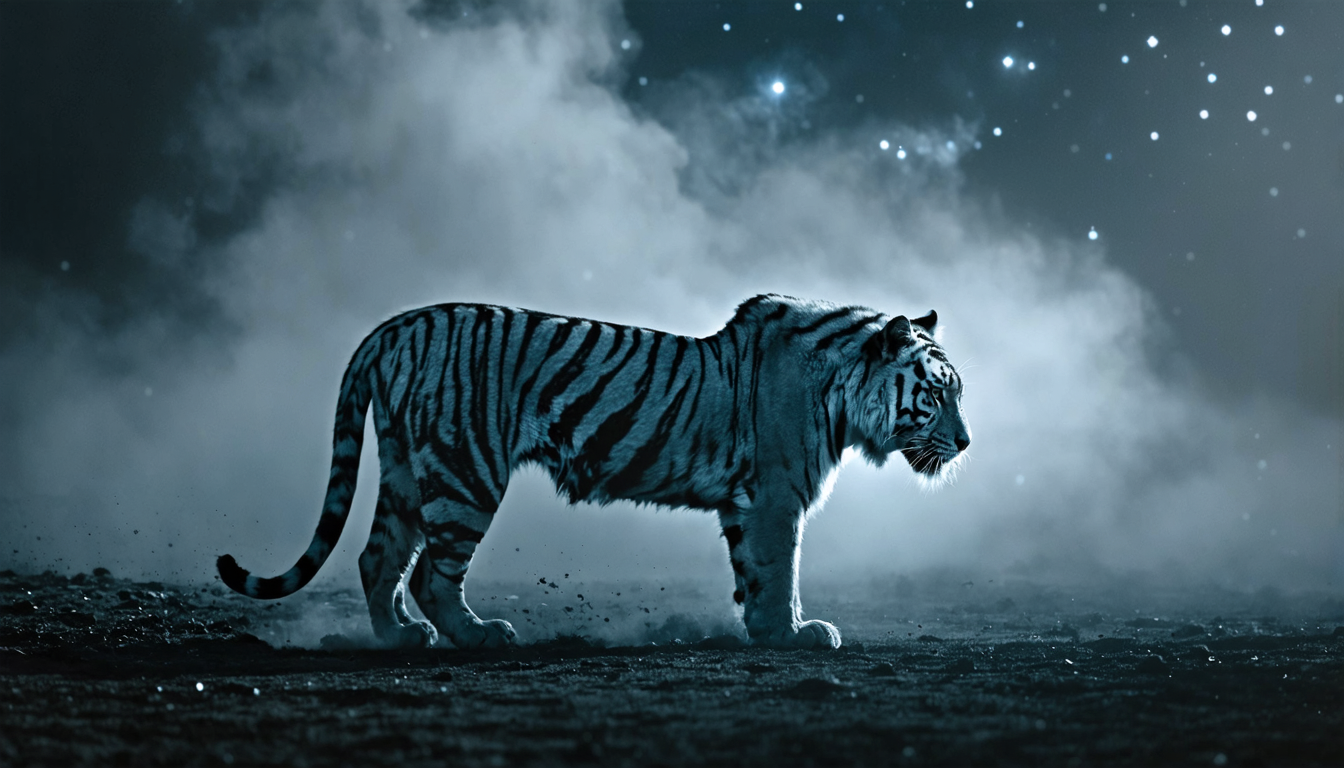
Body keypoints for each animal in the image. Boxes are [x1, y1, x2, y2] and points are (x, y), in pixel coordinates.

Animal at [217, 294, 970, 649]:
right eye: (937, 395)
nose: (964, 444)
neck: (843, 394)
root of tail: (392, 327)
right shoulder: (776, 498)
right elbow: (780, 568)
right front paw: (794, 635)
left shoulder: (745, 506)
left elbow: (752, 573)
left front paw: (764, 630)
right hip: (466, 472)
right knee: (432, 573)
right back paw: (479, 636)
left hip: (405, 470)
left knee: (378, 559)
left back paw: (398, 638)